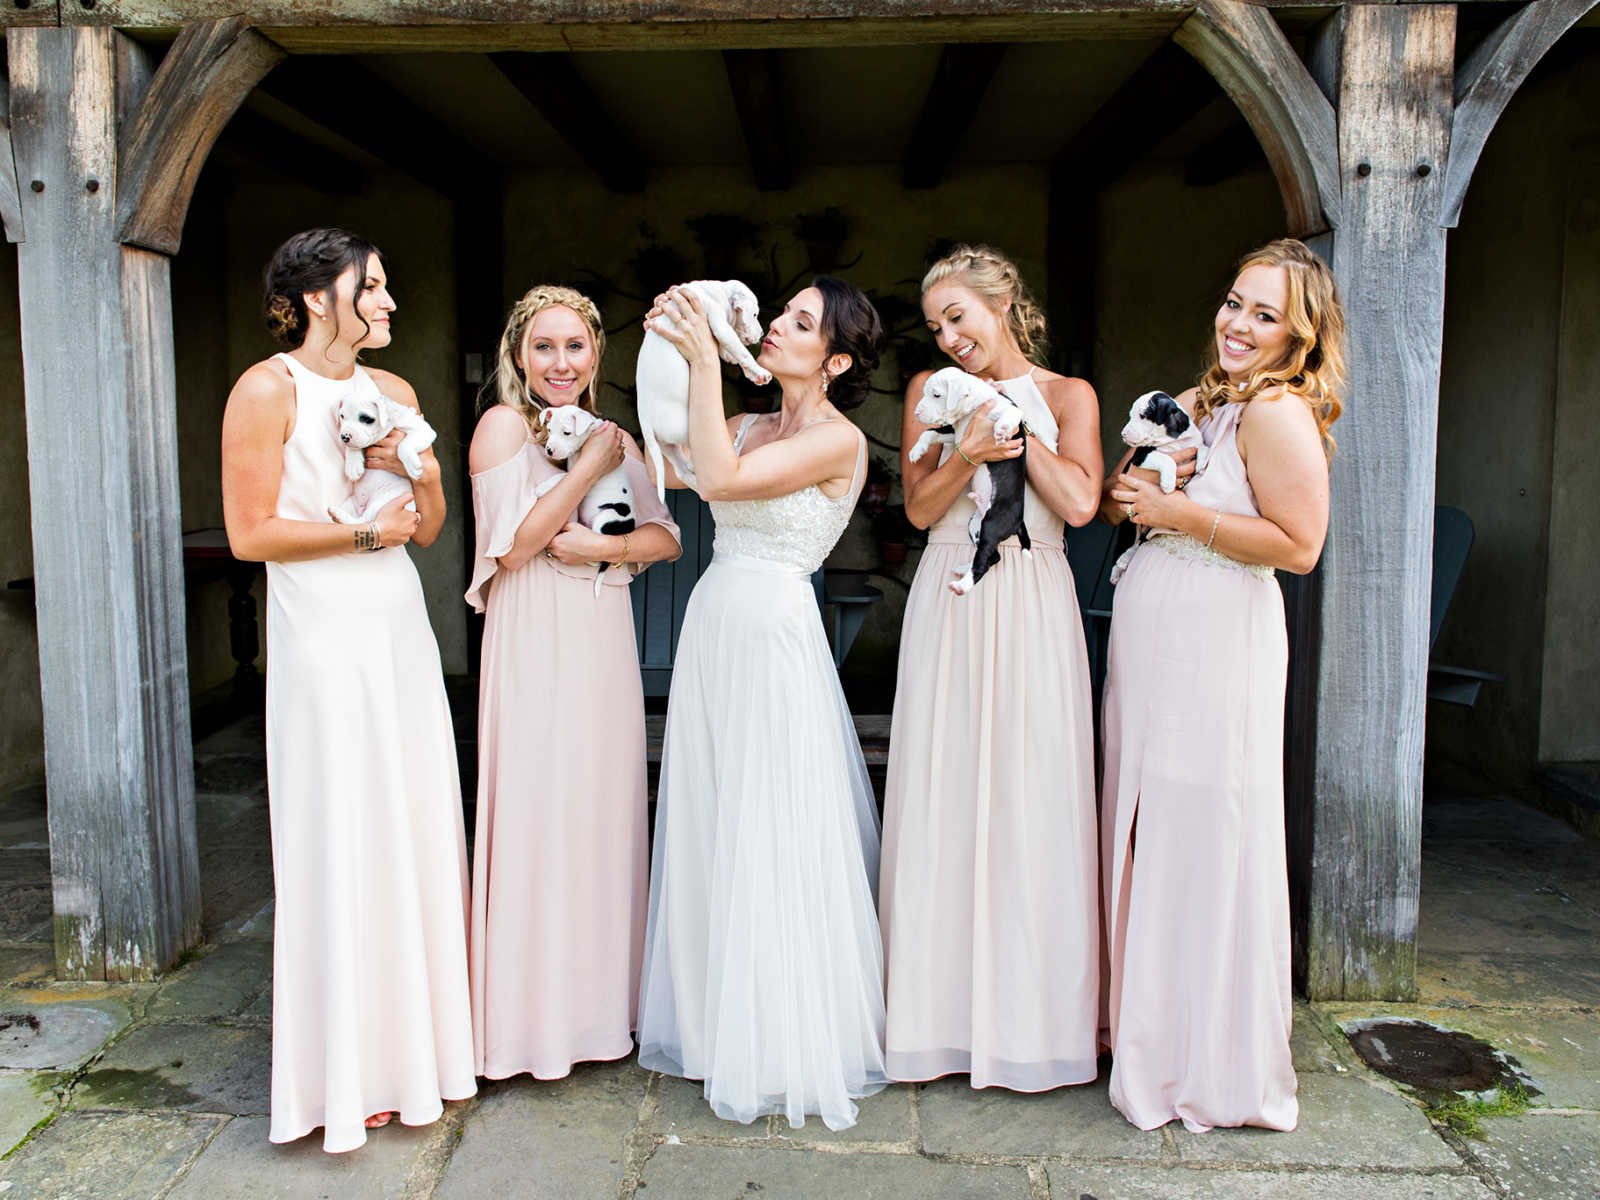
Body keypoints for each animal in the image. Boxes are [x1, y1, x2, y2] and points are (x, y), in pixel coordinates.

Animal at [326, 395, 438, 524]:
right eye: (342, 416)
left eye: (366, 419)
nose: (344, 436)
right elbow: (353, 447)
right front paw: (353, 466)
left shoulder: (422, 429)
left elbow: (403, 446)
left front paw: (413, 467)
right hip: (351, 503)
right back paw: (337, 515)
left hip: (381, 503)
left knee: (365, 521)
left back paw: (338, 515)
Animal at [537, 404, 636, 598]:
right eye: (549, 430)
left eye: (567, 433)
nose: (549, 450)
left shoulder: (584, 474)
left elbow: (562, 477)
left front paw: (543, 487)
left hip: (605, 519)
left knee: (598, 554)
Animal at [633, 280, 771, 499]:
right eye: (755, 314)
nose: (762, 334)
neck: (719, 292)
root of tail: (646, 422)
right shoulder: (720, 324)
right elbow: (742, 351)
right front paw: (759, 371)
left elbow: (731, 349)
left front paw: (746, 369)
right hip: (687, 430)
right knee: (696, 458)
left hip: (667, 445)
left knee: (682, 471)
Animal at [908, 361, 1030, 598]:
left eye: (936, 395)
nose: (916, 413)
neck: (972, 404)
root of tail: (1019, 521)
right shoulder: (955, 435)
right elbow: (930, 433)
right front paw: (917, 451)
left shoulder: (1008, 408)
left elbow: (1012, 412)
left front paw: (1002, 429)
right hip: (976, 524)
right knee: (992, 557)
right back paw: (963, 569)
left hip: (993, 525)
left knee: (984, 561)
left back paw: (962, 585)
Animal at [1113, 392, 1209, 585]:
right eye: (1130, 415)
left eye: (1142, 415)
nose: (1123, 434)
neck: (1172, 439)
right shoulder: (1141, 456)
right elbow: (1167, 459)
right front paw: (1168, 483)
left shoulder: (1193, 443)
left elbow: (1203, 446)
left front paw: (1202, 462)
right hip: (1130, 523)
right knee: (1132, 542)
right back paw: (1121, 563)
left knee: (1140, 541)